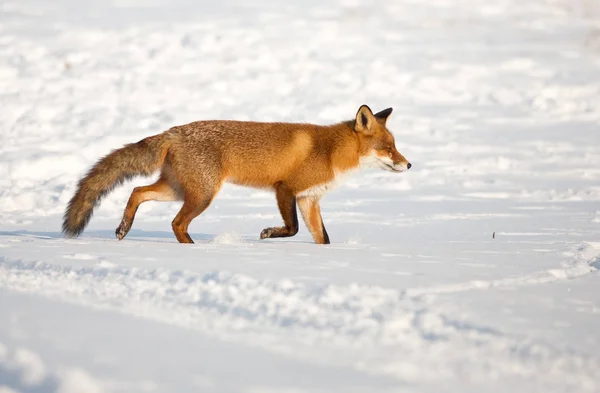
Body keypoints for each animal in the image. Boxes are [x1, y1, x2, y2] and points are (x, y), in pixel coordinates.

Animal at [63, 105, 410, 243]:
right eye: (387, 148)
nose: (408, 165)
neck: (330, 152)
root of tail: (174, 131)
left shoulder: (309, 200)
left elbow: (321, 237)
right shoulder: (285, 189)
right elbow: (292, 229)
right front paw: (268, 234)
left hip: (178, 189)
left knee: (137, 192)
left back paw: (124, 228)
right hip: (202, 195)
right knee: (176, 223)